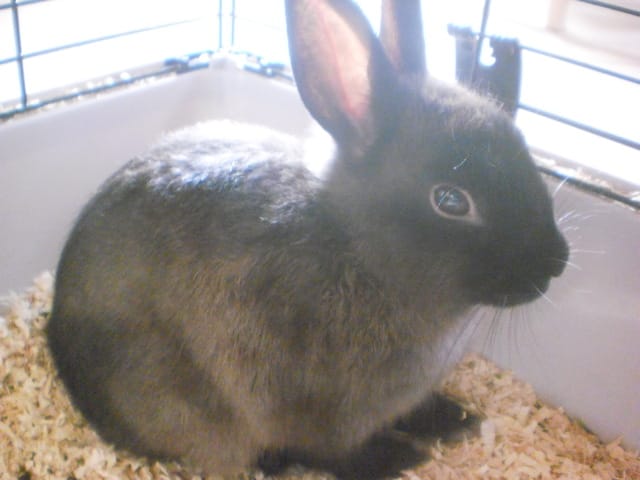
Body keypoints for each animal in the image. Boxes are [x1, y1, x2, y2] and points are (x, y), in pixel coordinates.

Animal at [46, 0, 569, 478]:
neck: (358, 250)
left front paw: (454, 417)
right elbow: (336, 454)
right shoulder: (313, 411)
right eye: (451, 201)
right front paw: (401, 457)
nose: (557, 261)